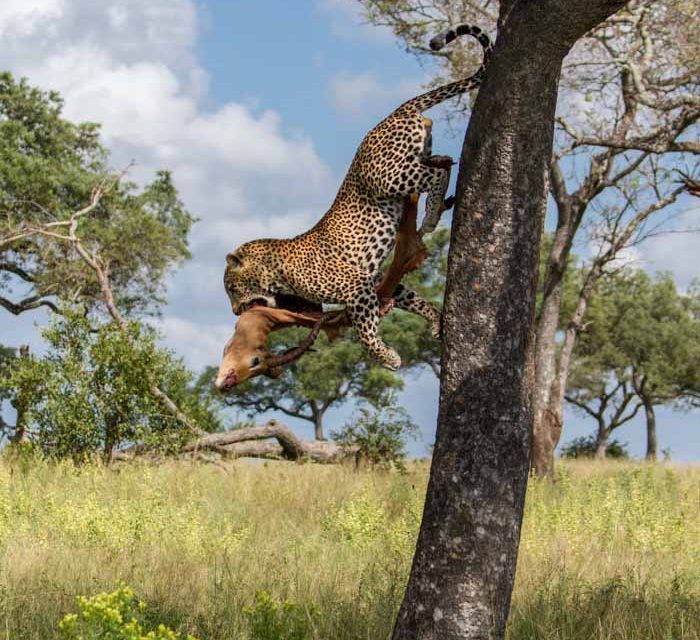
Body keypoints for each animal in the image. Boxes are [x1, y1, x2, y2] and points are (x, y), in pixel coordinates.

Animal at [224, 24, 492, 371]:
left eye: (232, 288)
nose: (234, 311)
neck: (277, 271)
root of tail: (394, 113)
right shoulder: (373, 279)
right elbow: (411, 298)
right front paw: (435, 319)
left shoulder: (356, 287)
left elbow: (365, 330)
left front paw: (386, 356)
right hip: (411, 160)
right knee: (442, 162)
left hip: (388, 176)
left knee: (437, 175)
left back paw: (432, 214)